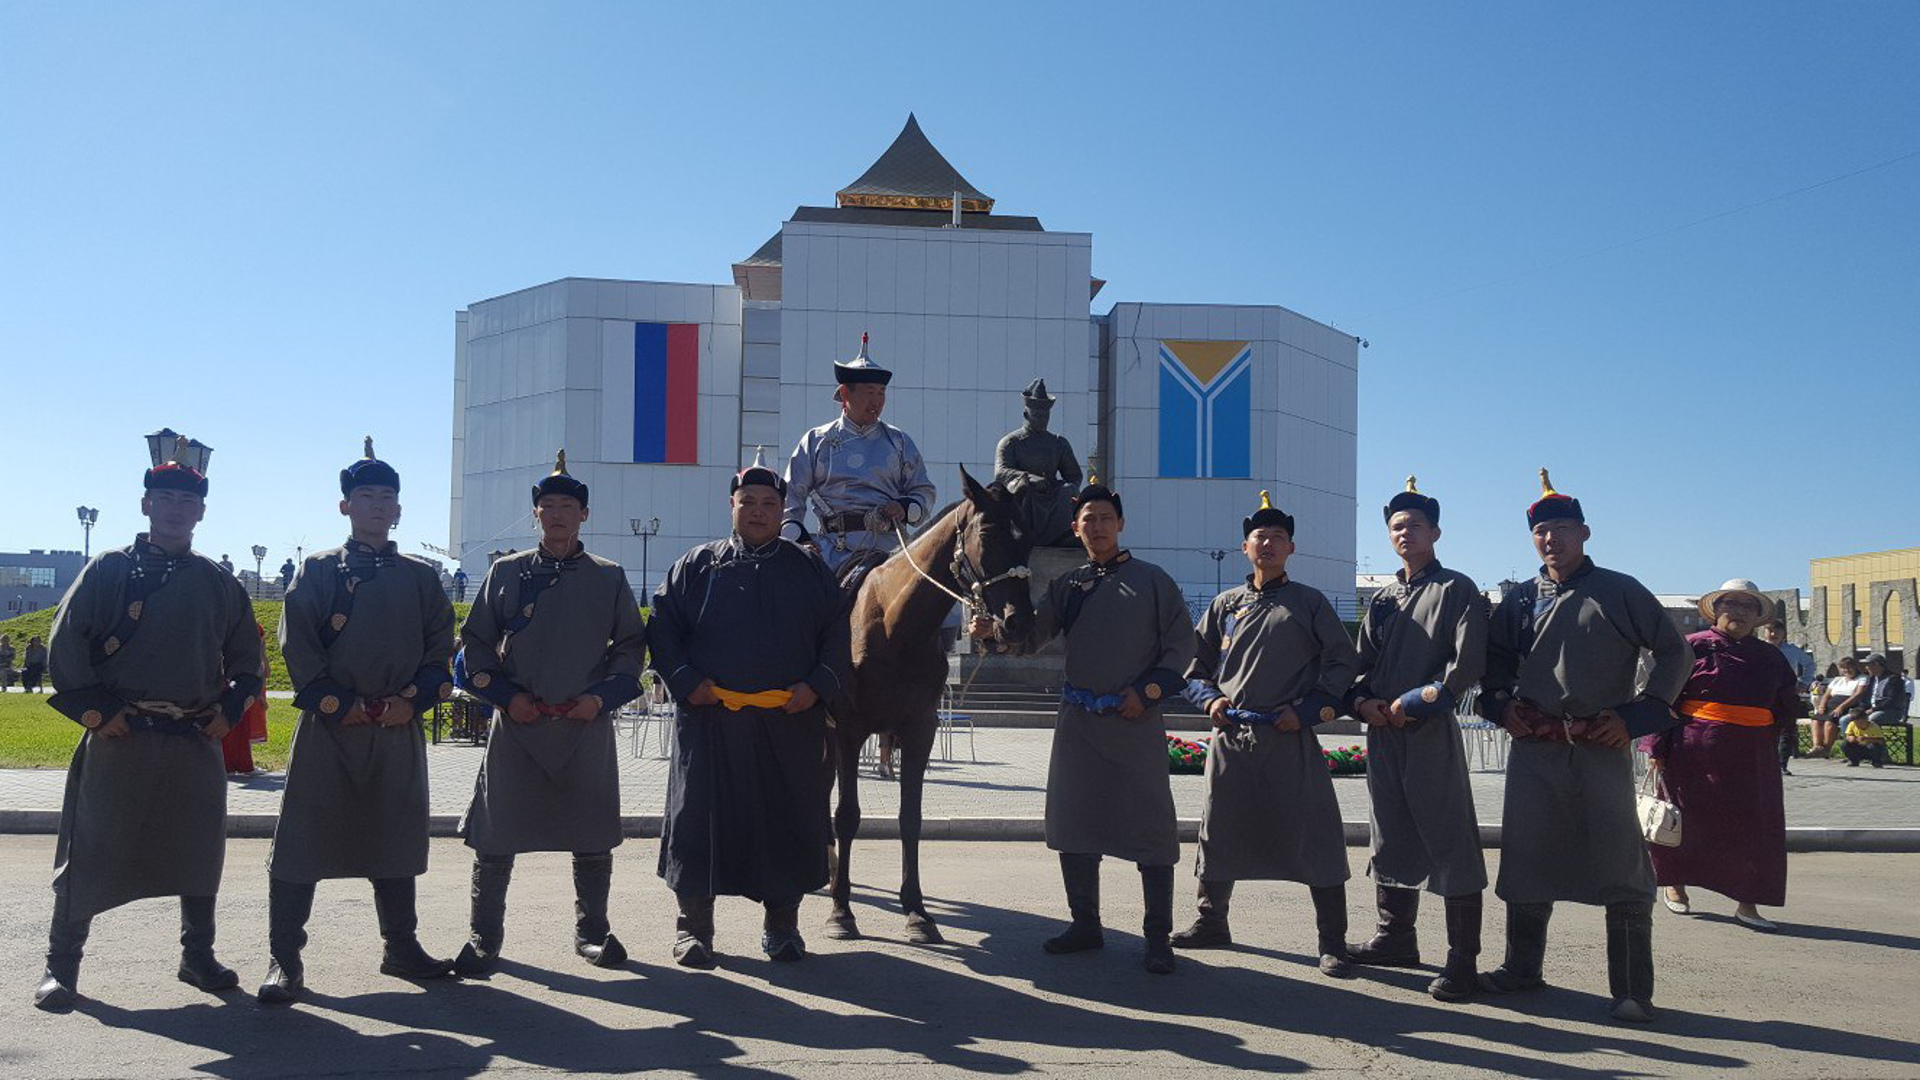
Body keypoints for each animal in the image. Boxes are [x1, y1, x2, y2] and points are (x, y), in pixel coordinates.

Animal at [825, 466, 1036, 937]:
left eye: (1028, 537)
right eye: (988, 534)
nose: (1018, 624)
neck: (893, 625)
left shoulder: (918, 730)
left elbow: (910, 818)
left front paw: (916, 910)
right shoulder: (848, 730)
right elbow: (847, 815)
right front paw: (841, 911)